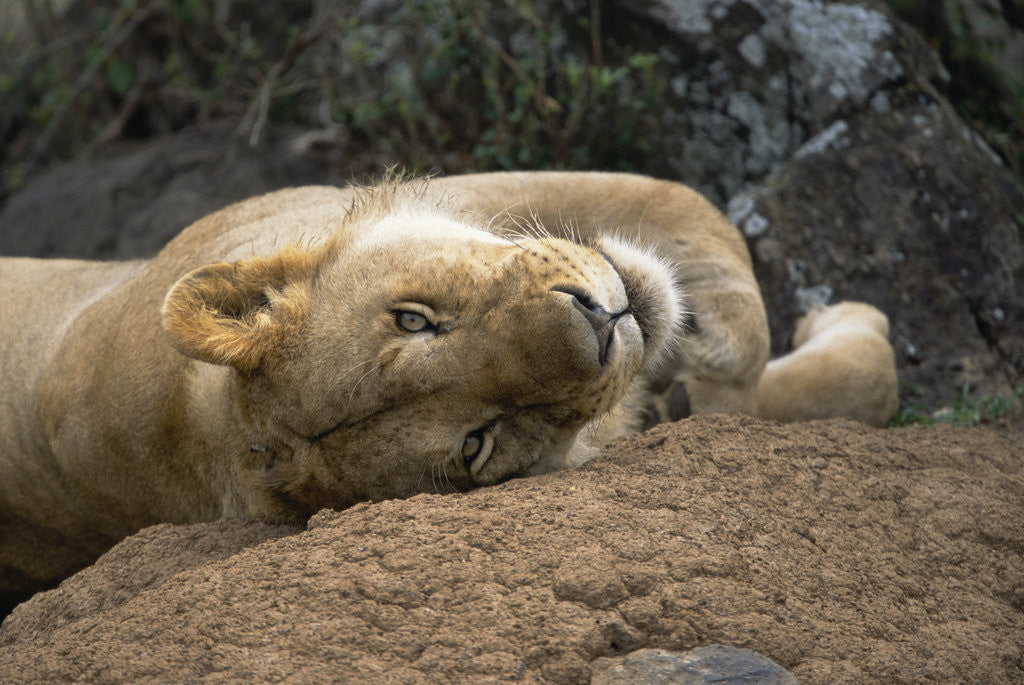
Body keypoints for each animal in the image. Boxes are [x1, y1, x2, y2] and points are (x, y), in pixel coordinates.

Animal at [0, 171, 899, 609]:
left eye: (413, 319)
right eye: (477, 442)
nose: (601, 325)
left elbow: (679, 202)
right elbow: (846, 376)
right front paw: (827, 327)